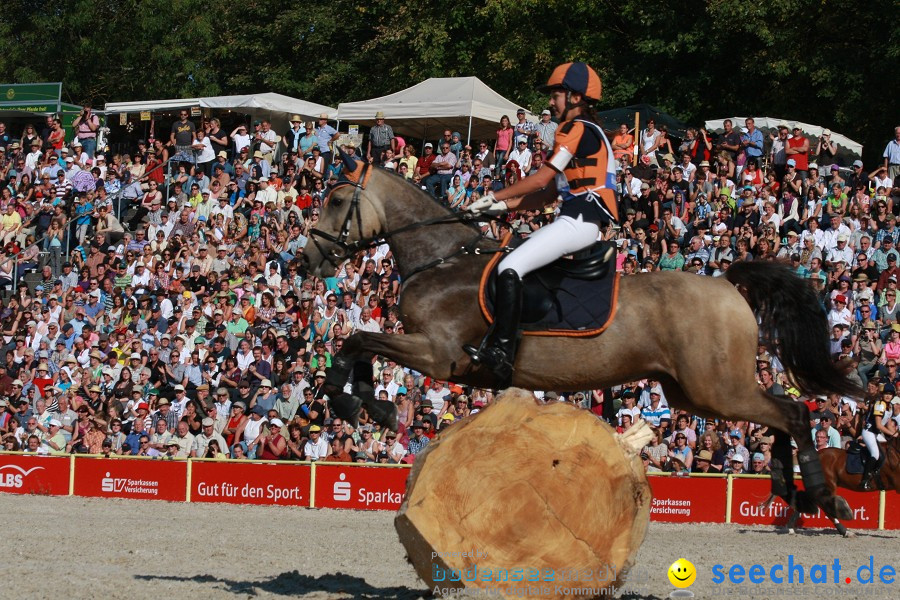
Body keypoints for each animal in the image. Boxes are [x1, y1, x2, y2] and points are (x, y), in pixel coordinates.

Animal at [306, 155, 860, 520]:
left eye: (338, 200)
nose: (308, 257)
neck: (441, 259)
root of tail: (727, 284)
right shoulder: (432, 350)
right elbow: (360, 343)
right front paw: (367, 404)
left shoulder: (440, 355)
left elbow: (356, 339)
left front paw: (352, 400)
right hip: (696, 392)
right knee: (783, 414)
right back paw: (794, 491)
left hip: (716, 390)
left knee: (792, 413)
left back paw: (821, 495)